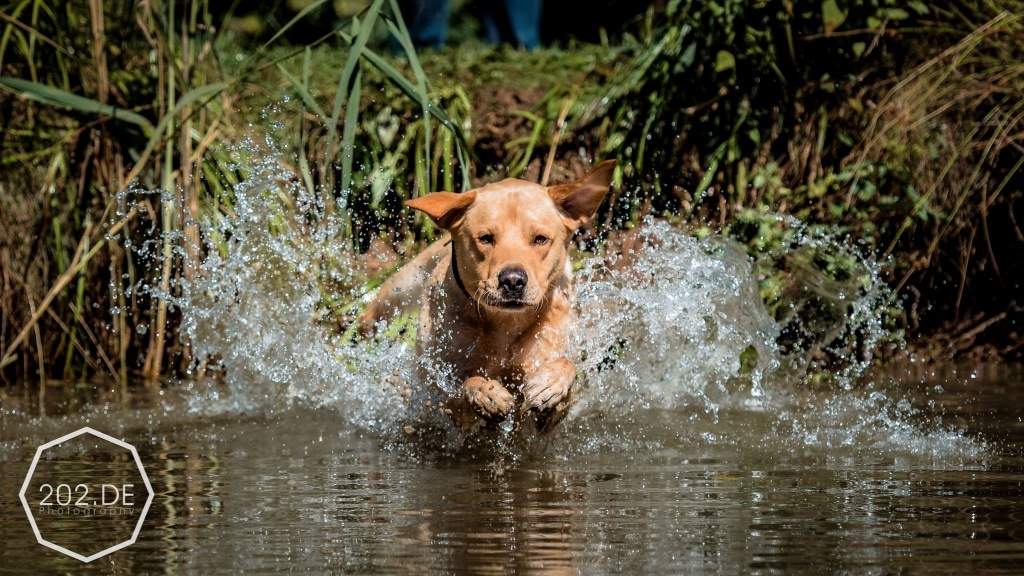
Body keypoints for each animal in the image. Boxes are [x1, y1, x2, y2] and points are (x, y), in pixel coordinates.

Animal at [362, 158, 614, 428]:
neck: (506, 326)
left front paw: (551, 382)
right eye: (485, 238)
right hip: (403, 284)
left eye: (540, 239)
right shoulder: (444, 394)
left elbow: (566, 369)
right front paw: (484, 392)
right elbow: (464, 385)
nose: (513, 280)